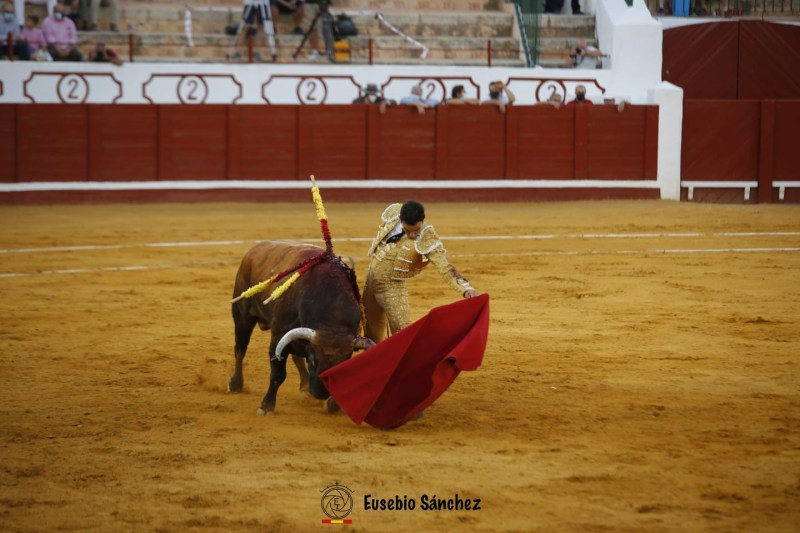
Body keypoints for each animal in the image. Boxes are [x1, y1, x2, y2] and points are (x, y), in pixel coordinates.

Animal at [228, 241, 372, 416]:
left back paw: (304, 385)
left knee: (295, 357)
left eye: (344, 361)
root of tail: (253, 251)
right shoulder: (277, 338)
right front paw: (266, 407)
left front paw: (334, 405)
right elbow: (277, 375)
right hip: (242, 316)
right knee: (240, 349)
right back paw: (236, 384)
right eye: (313, 359)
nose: (321, 393)